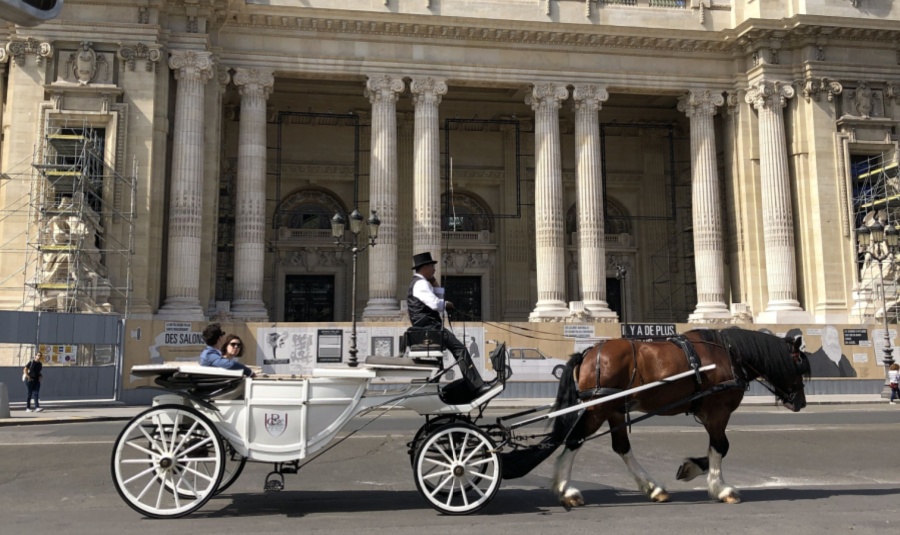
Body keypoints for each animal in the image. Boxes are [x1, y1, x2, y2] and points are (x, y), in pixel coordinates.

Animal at [548, 328, 808, 508]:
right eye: (800, 367)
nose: (801, 403)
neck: (728, 355)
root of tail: (588, 352)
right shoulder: (718, 411)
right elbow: (720, 447)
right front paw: (721, 488)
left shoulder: (707, 413)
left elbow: (718, 448)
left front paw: (691, 468)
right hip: (598, 409)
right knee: (575, 440)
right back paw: (566, 491)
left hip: (614, 410)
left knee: (621, 447)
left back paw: (653, 488)